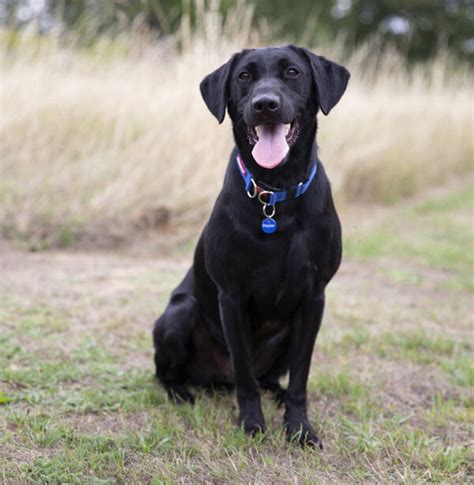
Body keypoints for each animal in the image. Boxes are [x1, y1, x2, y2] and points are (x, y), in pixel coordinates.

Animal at [153, 45, 348, 446]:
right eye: (244, 76)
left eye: (292, 72)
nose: (265, 104)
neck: (276, 194)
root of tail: (216, 380)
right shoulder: (232, 297)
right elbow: (244, 373)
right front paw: (252, 423)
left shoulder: (314, 298)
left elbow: (301, 378)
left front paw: (299, 427)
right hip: (179, 312)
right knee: (170, 373)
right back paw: (180, 393)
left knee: (270, 377)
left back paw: (276, 392)